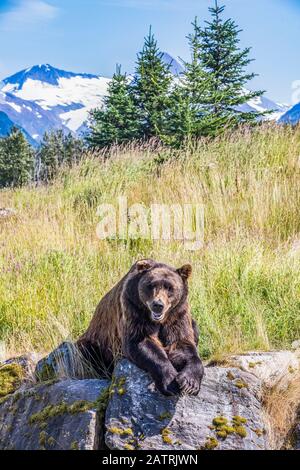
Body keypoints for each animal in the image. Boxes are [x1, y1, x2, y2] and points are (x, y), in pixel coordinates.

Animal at [77, 258, 204, 394]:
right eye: (152, 285)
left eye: (170, 288)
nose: (158, 305)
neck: (159, 321)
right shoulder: (133, 308)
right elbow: (141, 342)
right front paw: (170, 383)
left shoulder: (177, 315)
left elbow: (181, 344)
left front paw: (189, 383)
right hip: (98, 342)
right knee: (88, 352)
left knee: (195, 328)